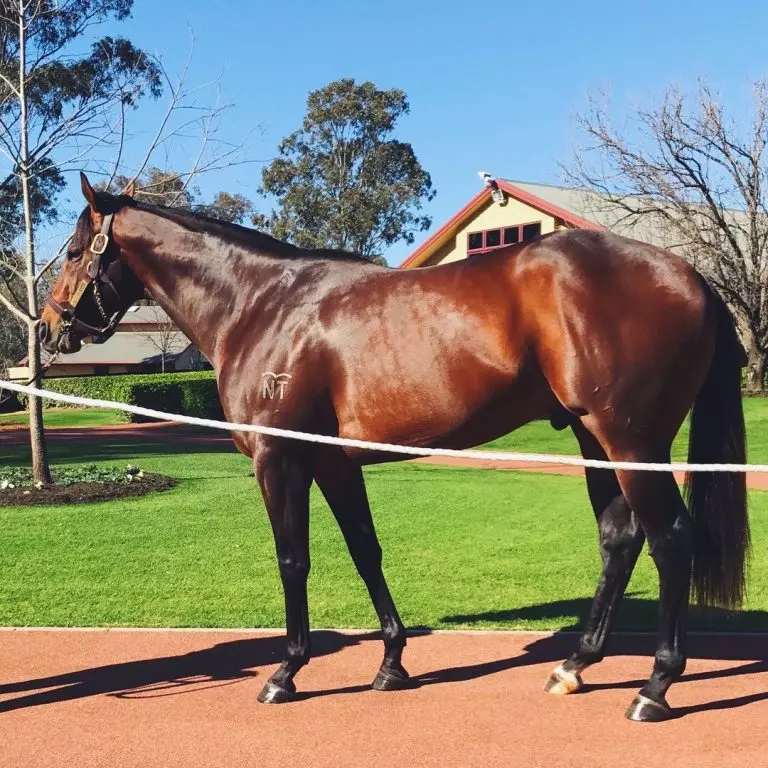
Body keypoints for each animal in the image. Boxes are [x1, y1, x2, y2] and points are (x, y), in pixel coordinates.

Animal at [38, 173, 748, 722]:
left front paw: (285, 673)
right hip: (592, 438)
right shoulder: (331, 462)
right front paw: (391, 662)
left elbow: (293, 561)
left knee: (670, 539)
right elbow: (365, 552)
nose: (47, 328)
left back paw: (655, 686)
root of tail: (689, 273)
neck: (262, 304)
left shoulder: (280, 460)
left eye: (73, 251)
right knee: (620, 539)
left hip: (630, 440)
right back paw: (575, 664)